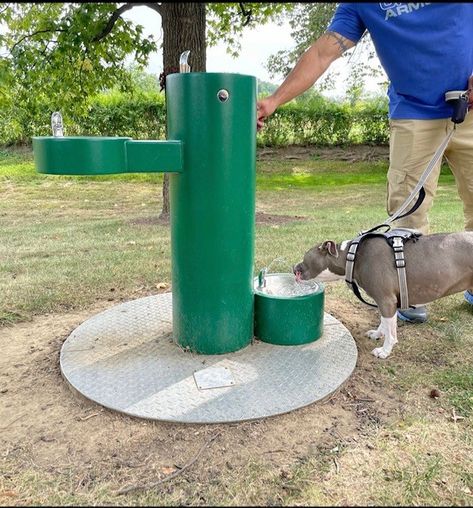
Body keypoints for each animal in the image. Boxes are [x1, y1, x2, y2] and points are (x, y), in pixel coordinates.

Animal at [292, 232, 472, 360]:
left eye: (305, 257)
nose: (294, 267)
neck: (352, 256)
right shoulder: (386, 302)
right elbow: (384, 322)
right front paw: (378, 334)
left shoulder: (386, 300)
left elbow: (391, 331)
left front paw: (385, 351)